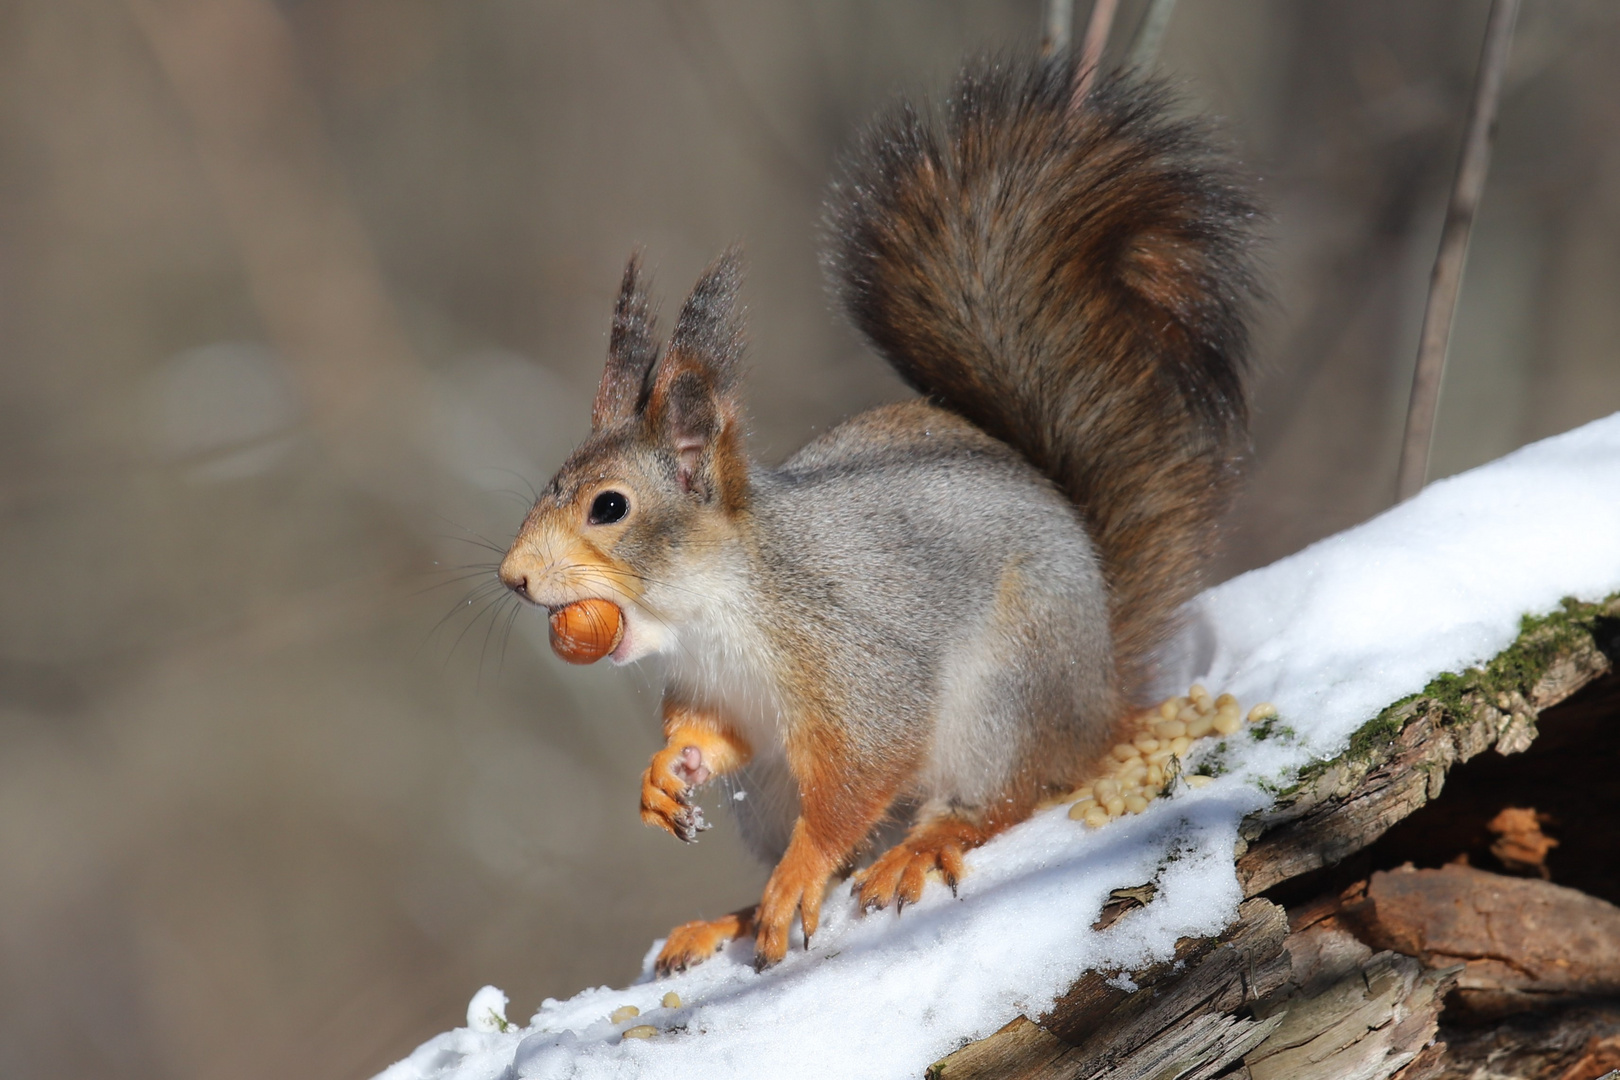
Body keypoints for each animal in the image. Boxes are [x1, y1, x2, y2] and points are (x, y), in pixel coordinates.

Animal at [498, 55, 1257, 977]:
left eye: (609, 506)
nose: (513, 577)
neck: (712, 607)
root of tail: (1098, 703)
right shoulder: (723, 697)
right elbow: (716, 742)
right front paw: (664, 775)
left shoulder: (855, 664)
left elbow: (856, 780)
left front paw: (802, 871)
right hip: (774, 792)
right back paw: (729, 919)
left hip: (1005, 694)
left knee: (1001, 798)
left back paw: (918, 847)